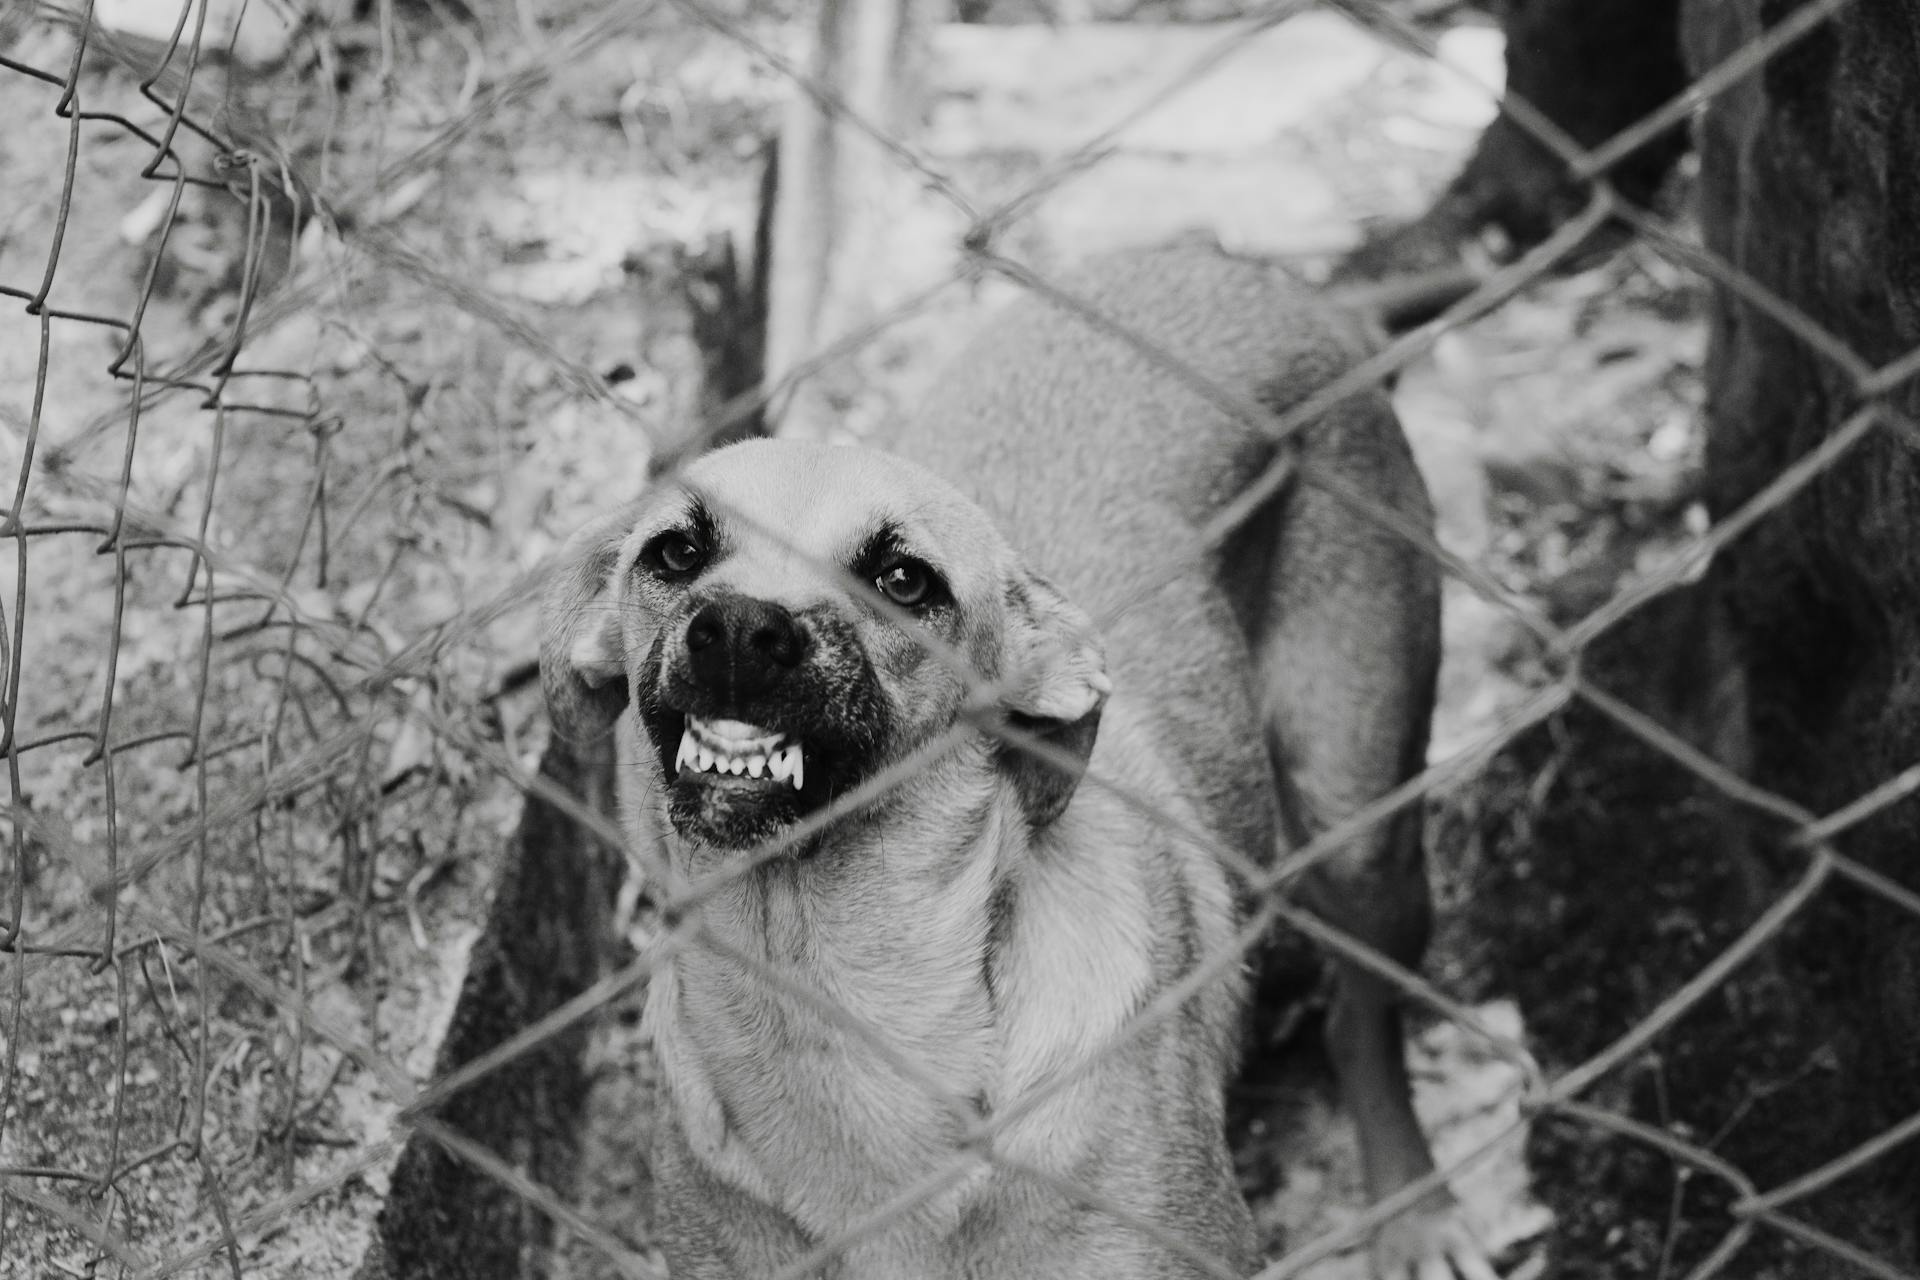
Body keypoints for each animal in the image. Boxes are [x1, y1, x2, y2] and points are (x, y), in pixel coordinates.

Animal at [541, 245, 1482, 1274]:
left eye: (904, 579)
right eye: (675, 552)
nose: (742, 630)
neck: (833, 1002)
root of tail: (1265, 274)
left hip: (1360, 825)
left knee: (1363, 1016)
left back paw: (1416, 1211)